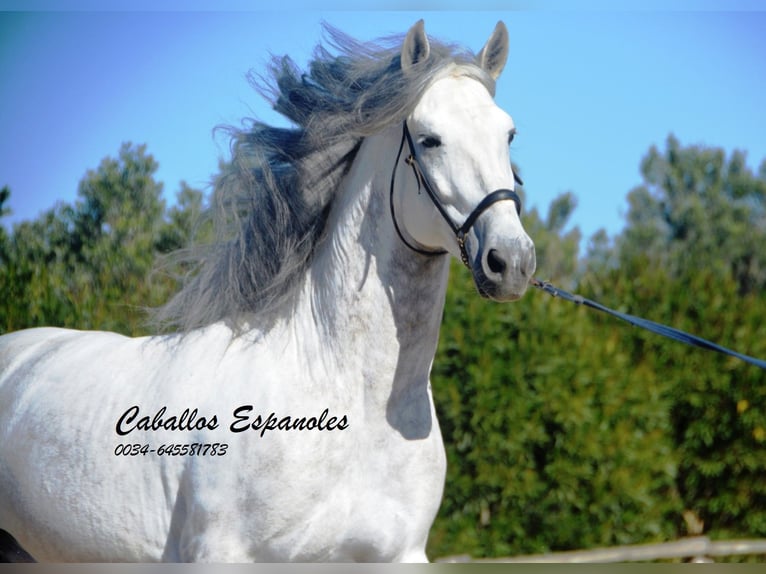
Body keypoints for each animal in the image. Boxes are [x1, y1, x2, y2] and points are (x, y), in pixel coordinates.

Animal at [0, 21, 536, 564]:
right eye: (429, 140)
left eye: (509, 134)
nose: (511, 262)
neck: (350, 408)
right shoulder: (222, 554)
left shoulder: (400, 556)